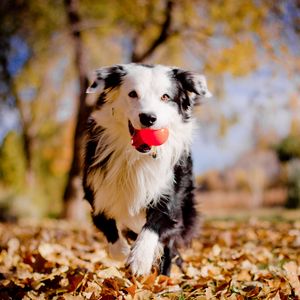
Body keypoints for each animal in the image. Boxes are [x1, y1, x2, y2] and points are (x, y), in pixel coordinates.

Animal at [83, 63, 212, 276]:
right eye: (133, 94)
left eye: (165, 96)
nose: (148, 118)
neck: (138, 156)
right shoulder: (97, 193)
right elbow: (109, 229)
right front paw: (124, 251)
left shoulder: (169, 196)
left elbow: (154, 225)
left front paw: (140, 259)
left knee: (169, 247)